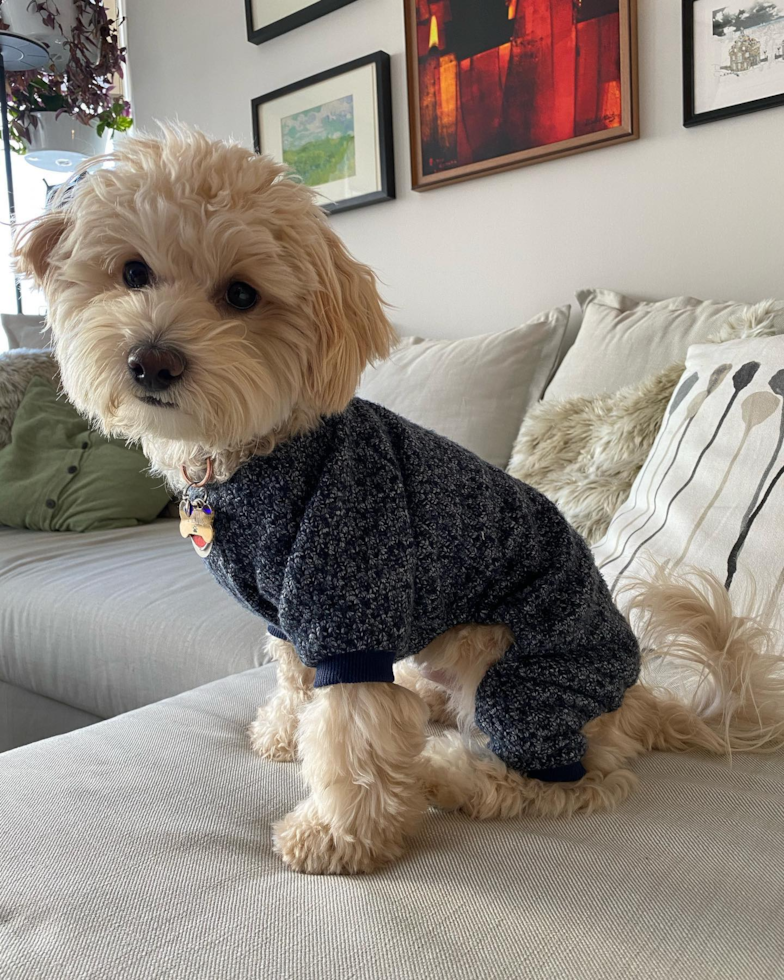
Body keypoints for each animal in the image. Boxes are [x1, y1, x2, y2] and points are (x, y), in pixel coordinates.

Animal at [15, 128, 780, 872]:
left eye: (241, 295)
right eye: (132, 272)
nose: (152, 361)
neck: (259, 451)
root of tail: (635, 701)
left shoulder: (350, 600)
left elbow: (352, 732)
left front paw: (339, 835)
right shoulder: (290, 620)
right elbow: (295, 681)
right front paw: (284, 732)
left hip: (521, 682)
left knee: (567, 781)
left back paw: (449, 775)